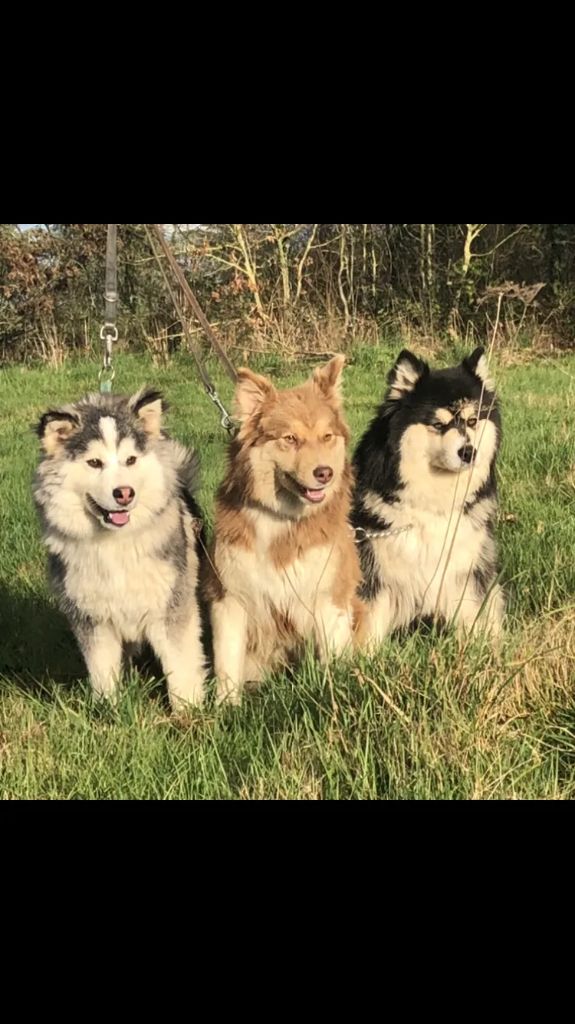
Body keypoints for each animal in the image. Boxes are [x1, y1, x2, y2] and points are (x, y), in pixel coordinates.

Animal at [32, 387, 205, 708]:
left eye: (130, 460)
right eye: (94, 463)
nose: (124, 493)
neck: (115, 542)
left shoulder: (172, 605)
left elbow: (182, 663)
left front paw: (188, 709)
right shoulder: (91, 616)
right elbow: (102, 668)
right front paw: (108, 708)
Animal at [349, 348, 501, 643]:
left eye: (472, 421)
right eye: (438, 424)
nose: (469, 452)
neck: (435, 502)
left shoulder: (465, 564)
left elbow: (473, 612)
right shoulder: (375, 564)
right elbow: (369, 620)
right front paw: (363, 654)